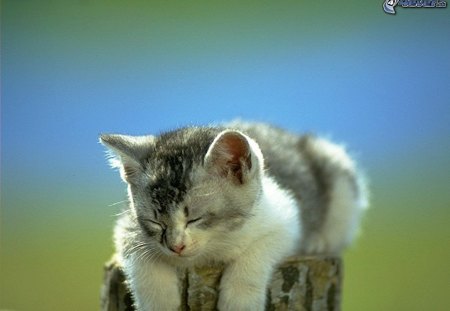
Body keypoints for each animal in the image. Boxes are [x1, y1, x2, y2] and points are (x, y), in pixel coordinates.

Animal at [100, 120, 368, 310]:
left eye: (195, 218)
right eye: (156, 221)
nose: (176, 246)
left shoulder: (286, 218)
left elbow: (258, 250)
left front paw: (239, 299)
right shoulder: (127, 224)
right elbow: (139, 255)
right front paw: (159, 301)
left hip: (337, 172)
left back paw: (318, 241)